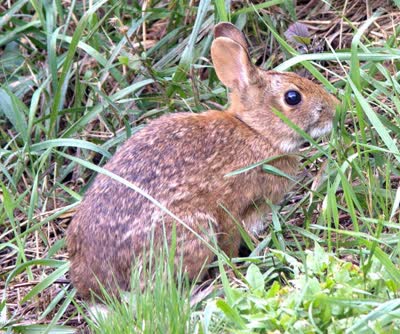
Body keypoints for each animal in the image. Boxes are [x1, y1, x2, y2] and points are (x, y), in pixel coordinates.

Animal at [67, 22, 340, 298]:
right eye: (293, 97)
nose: (336, 108)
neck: (256, 131)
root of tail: (93, 283)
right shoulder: (233, 209)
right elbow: (231, 240)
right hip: (193, 230)